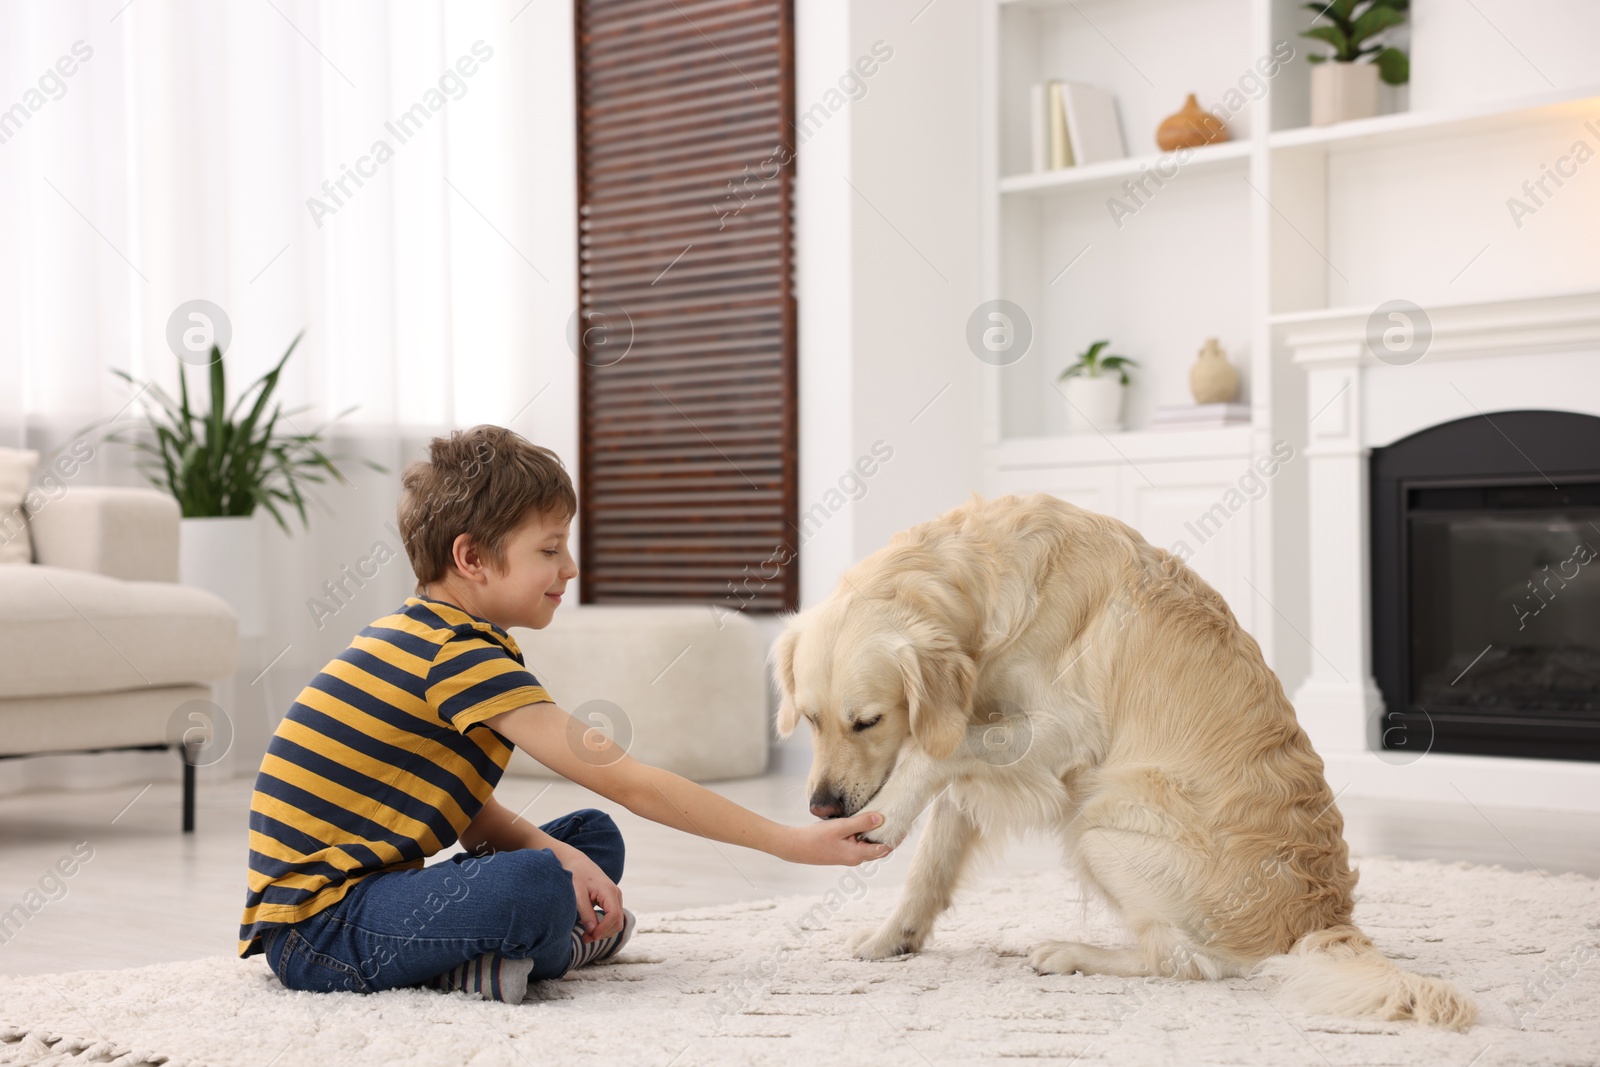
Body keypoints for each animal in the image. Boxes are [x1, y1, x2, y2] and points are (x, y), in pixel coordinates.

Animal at [768, 495, 1478, 1030]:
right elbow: (933, 857)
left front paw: (890, 815)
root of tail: (1320, 921)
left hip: (1102, 821)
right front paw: (893, 938)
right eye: (810, 718)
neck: (981, 582)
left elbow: (940, 751)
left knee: (1186, 962)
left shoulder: (1060, 730)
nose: (822, 807)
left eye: (868, 721)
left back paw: (1068, 952)